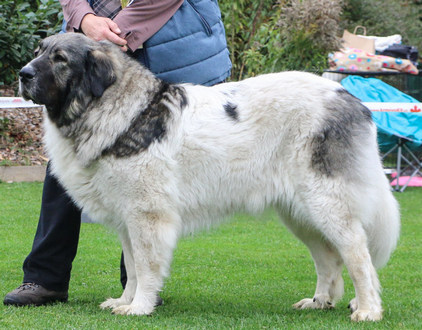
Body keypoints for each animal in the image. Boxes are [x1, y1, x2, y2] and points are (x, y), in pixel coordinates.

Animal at [19, 32, 400, 320]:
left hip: (327, 203)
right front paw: (125, 301)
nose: (23, 74)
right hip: (301, 212)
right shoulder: (127, 219)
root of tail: (353, 101)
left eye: (60, 59)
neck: (121, 110)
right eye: (38, 53)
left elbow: (145, 265)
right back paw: (321, 301)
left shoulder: (147, 215)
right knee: (328, 258)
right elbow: (132, 265)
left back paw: (368, 309)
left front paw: (140, 307)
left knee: (357, 254)